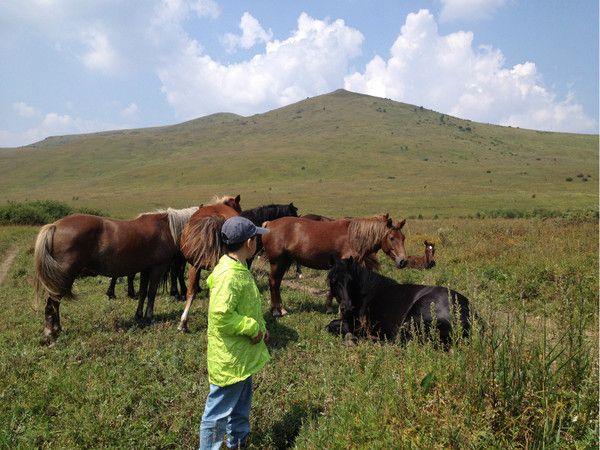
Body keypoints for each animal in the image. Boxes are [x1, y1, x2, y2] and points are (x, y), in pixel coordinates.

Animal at [34, 207, 198, 344]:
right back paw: (51, 334)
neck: (166, 228)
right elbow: (151, 294)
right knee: (52, 305)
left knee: (55, 305)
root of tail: (54, 226)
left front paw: (139, 315)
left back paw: (57, 329)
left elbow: (143, 293)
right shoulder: (157, 268)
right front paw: (149, 318)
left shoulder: (145, 270)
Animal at [262, 214, 408, 316]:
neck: (354, 237)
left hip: (284, 262)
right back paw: (276, 311)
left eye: (403, 238)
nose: (403, 261)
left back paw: (281, 309)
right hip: (277, 262)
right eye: (391, 238)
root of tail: (269, 223)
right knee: (273, 282)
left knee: (277, 283)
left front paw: (329, 307)